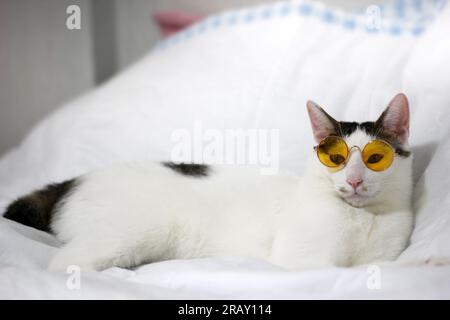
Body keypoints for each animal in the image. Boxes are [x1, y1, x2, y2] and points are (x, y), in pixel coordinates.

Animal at [3, 93, 414, 272]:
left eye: (375, 159)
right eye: (337, 160)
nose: (355, 179)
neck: (362, 219)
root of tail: (72, 180)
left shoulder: (383, 258)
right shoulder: (303, 259)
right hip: (127, 235)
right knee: (63, 264)